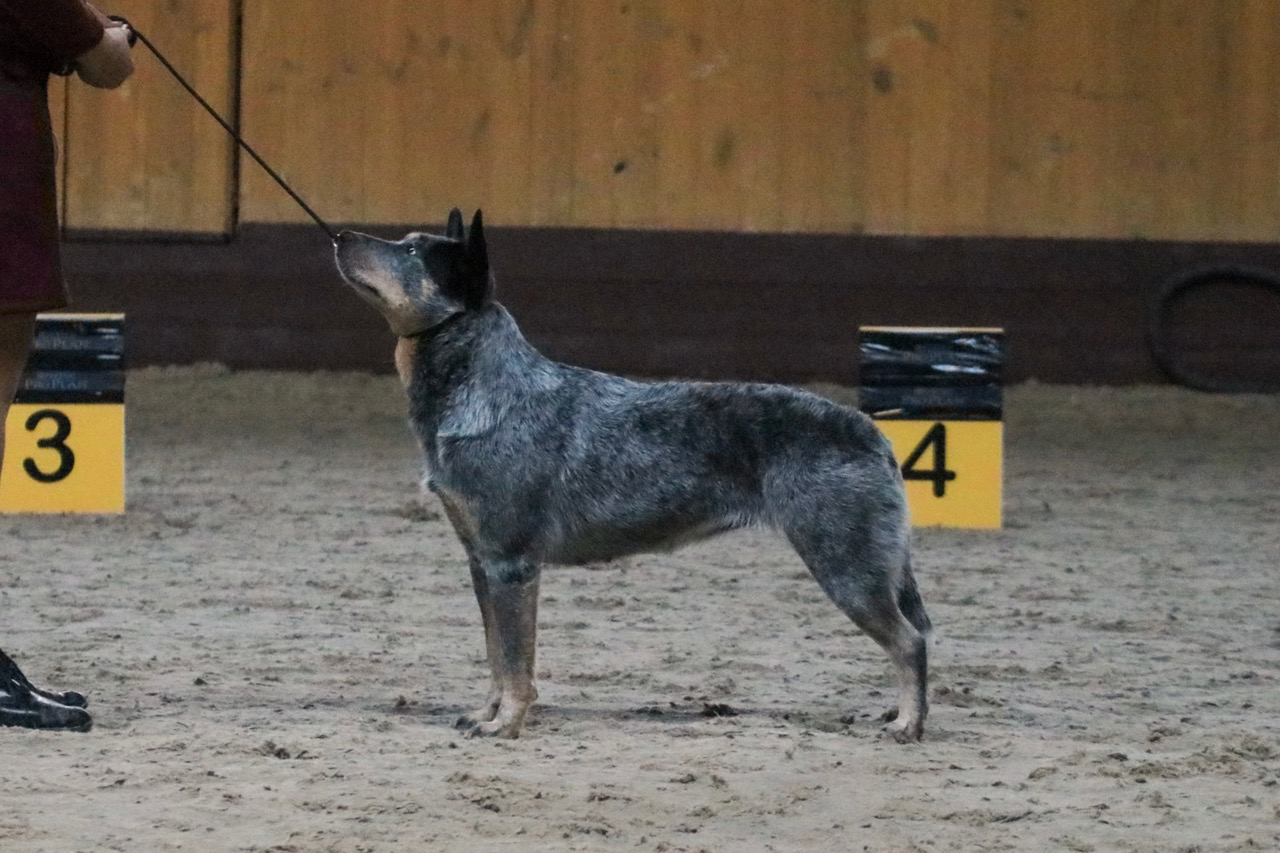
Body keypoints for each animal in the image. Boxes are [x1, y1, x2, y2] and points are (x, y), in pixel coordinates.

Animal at [330, 208, 931, 742]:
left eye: (412, 252)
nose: (338, 235)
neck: (488, 391)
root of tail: (871, 431)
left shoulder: (512, 566)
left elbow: (517, 661)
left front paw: (508, 724)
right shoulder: (482, 564)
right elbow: (496, 655)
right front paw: (488, 713)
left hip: (845, 566)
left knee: (909, 641)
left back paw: (908, 723)